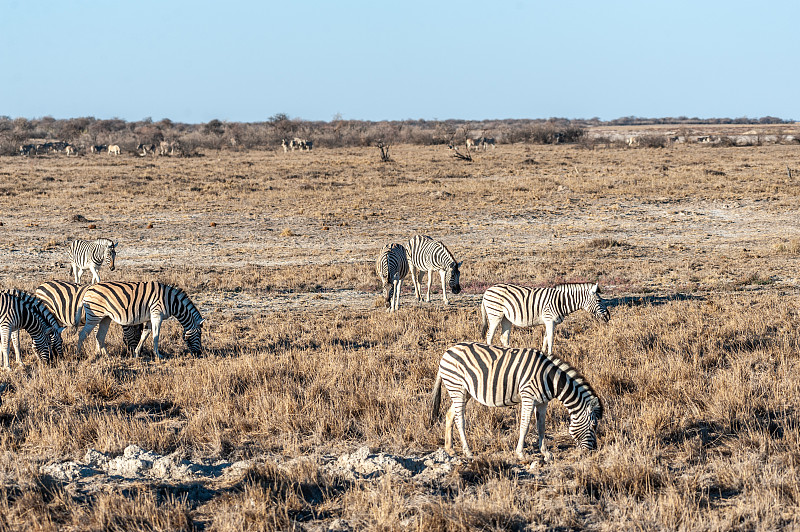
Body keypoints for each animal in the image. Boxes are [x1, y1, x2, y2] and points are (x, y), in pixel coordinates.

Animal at [77, 280, 205, 360]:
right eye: (199, 334)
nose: (199, 353)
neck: (171, 301)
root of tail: (89, 289)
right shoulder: (156, 315)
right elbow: (156, 336)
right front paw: (158, 355)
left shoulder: (150, 318)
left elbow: (145, 335)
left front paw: (136, 353)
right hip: (94, 316)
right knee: (82, 334)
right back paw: (78, 355)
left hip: (105, 318)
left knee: (99, 336)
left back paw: (107, 356)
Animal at [432, 342, 600, 460]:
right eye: (593, 425)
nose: (594, 450)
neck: (549, 378)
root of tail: (447, 352)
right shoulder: (528, 397)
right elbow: (524, 426)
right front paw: (520, 453)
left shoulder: (542, 402)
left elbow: (541, 427)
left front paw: (546, 453)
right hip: (457, 387)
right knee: (459, 419)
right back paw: (467, 452)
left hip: (464, 391)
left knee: (450, 414)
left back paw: (449, 449)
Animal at [478, 282, 608, 354]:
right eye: (599, 300)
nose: (608, 317)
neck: (561, 302)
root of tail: (487, 291)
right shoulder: (549, 320)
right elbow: (550, 339)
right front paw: (551, 354)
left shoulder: (551, 322)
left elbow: (545, 338)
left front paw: (545, 354)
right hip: (495, 315)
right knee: (489, 335)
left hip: (506, 318)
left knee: (504, 337)